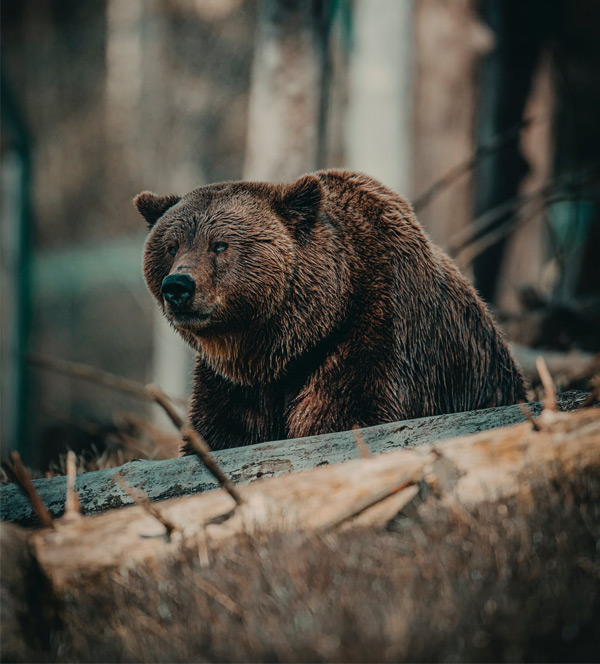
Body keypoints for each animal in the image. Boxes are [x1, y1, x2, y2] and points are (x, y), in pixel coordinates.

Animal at [135, 170, 526, 451]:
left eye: (220, 245)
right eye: (171, 246)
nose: (178, 286)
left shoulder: (376, 332)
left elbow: (347, 413)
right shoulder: (234, 384)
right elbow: (221, 431)